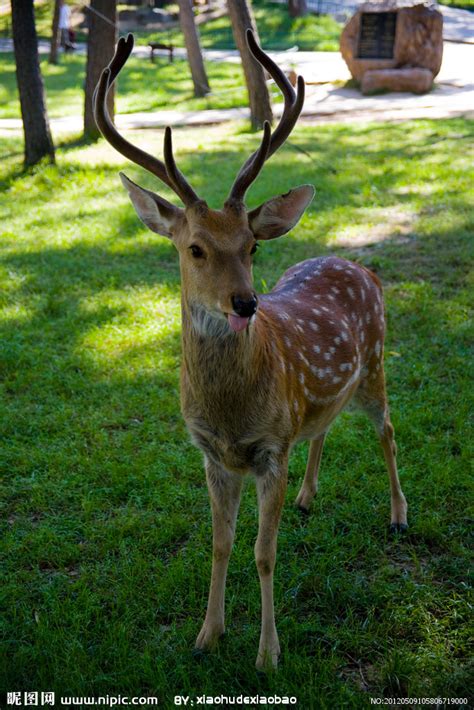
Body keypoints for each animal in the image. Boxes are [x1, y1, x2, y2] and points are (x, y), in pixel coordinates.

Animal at [93, 30, 408, 672]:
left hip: (376, 364)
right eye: (194, 248)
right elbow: (220, 543)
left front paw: (268, 653)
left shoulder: (269, 449)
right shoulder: (213, 454)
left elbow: (264, 552)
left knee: (388, 431)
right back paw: (310, 499)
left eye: (252, 245)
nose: (246, 303)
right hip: (320, 400)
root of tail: (359, 266)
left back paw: (397, 516)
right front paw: (206, 636)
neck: (231, 412)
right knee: (324, 427)